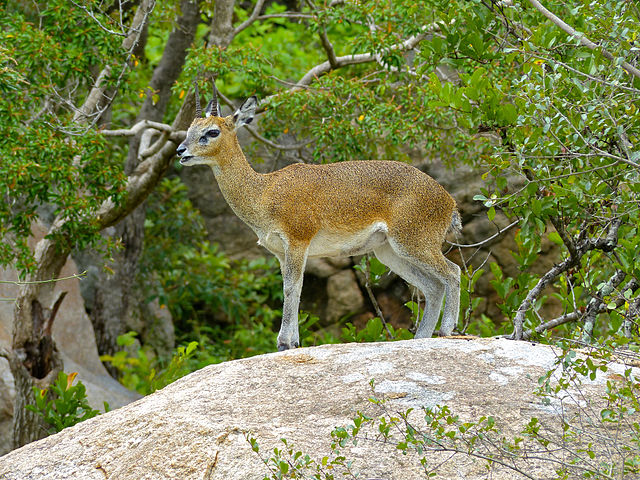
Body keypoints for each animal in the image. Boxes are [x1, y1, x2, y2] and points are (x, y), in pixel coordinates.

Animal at [178, 84, 462, 350]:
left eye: (212, 131)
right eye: (189, 129)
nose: (181, 151)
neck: (264, 191)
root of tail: (449, 201)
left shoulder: (297, 242)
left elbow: (291, 288)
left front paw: (283, 342)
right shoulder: (281, 252)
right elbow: (294, 289)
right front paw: (293, 342)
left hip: (413, 243)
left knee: (453, 272)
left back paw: (446, 330)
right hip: (389, 251)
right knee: (433, 286)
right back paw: (421, 337)